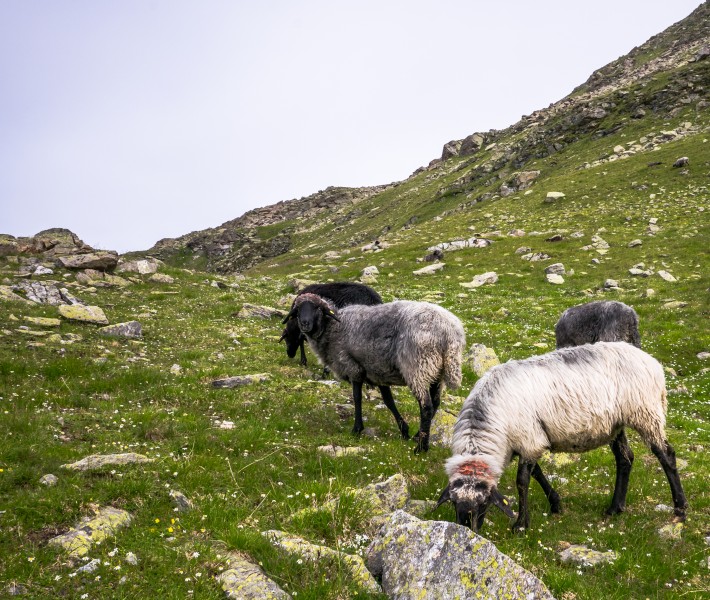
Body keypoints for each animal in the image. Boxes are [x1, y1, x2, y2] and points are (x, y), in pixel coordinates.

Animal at [283, 293, 466, 452]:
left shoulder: (353, 367)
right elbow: (389, 401)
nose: (304, 324)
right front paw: (404, 430)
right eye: (297, 310)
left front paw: (357, 429)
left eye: (317, 309)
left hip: (417, 367)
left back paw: (421, 447)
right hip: (437, 372)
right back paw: (417, 436)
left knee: (426, 406)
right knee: (435, 403)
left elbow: (357, 398)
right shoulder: (377, 371)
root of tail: (449, 332)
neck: (333, 328)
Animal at [436, 341, 687, 531]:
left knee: (666, 455)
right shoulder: (528, 441)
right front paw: (556, 504)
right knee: (625, 458)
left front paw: (521, 525)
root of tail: (652, 362)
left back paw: (680, 509)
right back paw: (615, 508)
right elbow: (537, 473)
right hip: (616, 424)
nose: (467, 530)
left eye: (484, 502)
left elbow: (522, 481)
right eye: (454, 503)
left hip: (645, 412)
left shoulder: (529, 439)